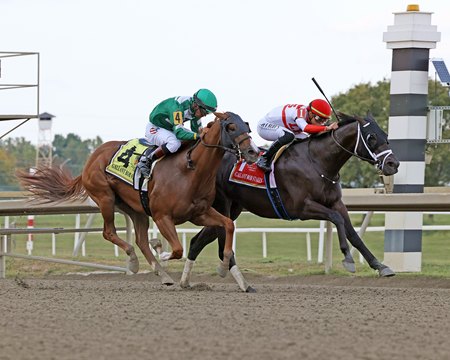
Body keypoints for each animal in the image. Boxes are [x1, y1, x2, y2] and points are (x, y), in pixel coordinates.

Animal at [17, 111, 258, 286]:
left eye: (247, 126)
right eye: (231, 127)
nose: (253, 152)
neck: (191, 169)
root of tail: (92, 157)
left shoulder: (200, 213)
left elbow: (228, 225)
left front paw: (223, 266)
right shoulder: (162, 216)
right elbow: (177, 249)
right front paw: (161, 250)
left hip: (136, 209)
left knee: (140, 240)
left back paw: (162, 275)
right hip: (105, 198)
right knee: (110, 232)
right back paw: (133, 262)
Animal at [183, 111, 400, 292]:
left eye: (385, 134)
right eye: (371, 137)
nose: (393, 164)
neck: (317, 162)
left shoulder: (336, 203)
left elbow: (353, 233)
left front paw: (380, 266)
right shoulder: (301, 208)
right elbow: (336, 219)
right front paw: (347, 258)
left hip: (232, 209)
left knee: (197, 241)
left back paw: (186, 282)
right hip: (223, 205)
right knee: (220, 244)